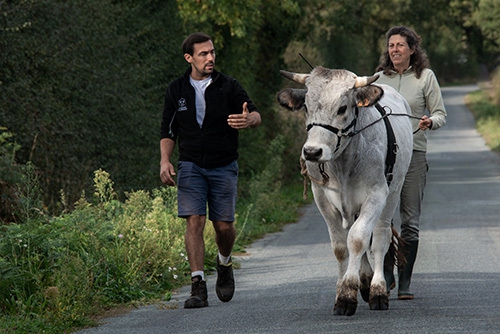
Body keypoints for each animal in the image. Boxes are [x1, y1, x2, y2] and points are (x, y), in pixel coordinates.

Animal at [280, 66, 412, 316]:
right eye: (306, 107)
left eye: (342, 108)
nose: (312, 152)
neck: (343, 163)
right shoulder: (322, 197)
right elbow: (341, 247)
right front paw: (342, 293)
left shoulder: (376, 194)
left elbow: (359, 240)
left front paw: (349, 294)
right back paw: (365, 281)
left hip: (393, 192)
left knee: (379, 238)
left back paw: (377, 289)